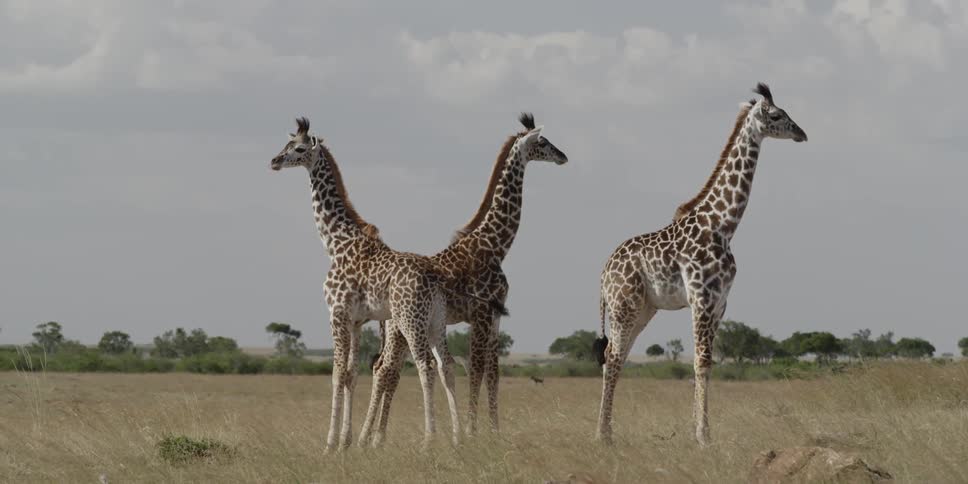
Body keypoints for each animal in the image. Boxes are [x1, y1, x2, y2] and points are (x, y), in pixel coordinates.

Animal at [269, 117, 506, 451]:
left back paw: (429, 440)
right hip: (435, 321)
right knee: (445, 365)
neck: (334, 242)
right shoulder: (357, 320)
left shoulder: (337, 312)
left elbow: (336, 373)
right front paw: (346, 442)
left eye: (299, 149)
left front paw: (329, 445)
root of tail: (436, 277)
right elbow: (351, 373)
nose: (275, 161)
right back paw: (457, 438)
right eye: (286, 144)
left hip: (409, 320)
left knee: (425, 366)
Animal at [371, 113, 569, 434]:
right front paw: (472, 432)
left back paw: (376, 435)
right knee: (385, 369)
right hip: (402, 328)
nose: (563, 156)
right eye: (542, 141)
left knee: (387, 370)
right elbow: (476, 371)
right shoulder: (480, 314)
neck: (495, 246)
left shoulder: (495, 317)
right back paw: (373, 436)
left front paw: (494, 432)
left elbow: (494, 374)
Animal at [593, 83, 807, 446]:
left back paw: (607, 432)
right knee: (612, 357)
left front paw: (699, 431)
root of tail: (603, 274)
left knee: (614, 358)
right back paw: (601, 435)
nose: (801, 133)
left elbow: (706, 363)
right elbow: (701, 361)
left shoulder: (721, 303)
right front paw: (703, 436)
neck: (723, 225)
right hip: (624, 307)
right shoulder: (701, 297)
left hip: (644, 309)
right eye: (778, 115)